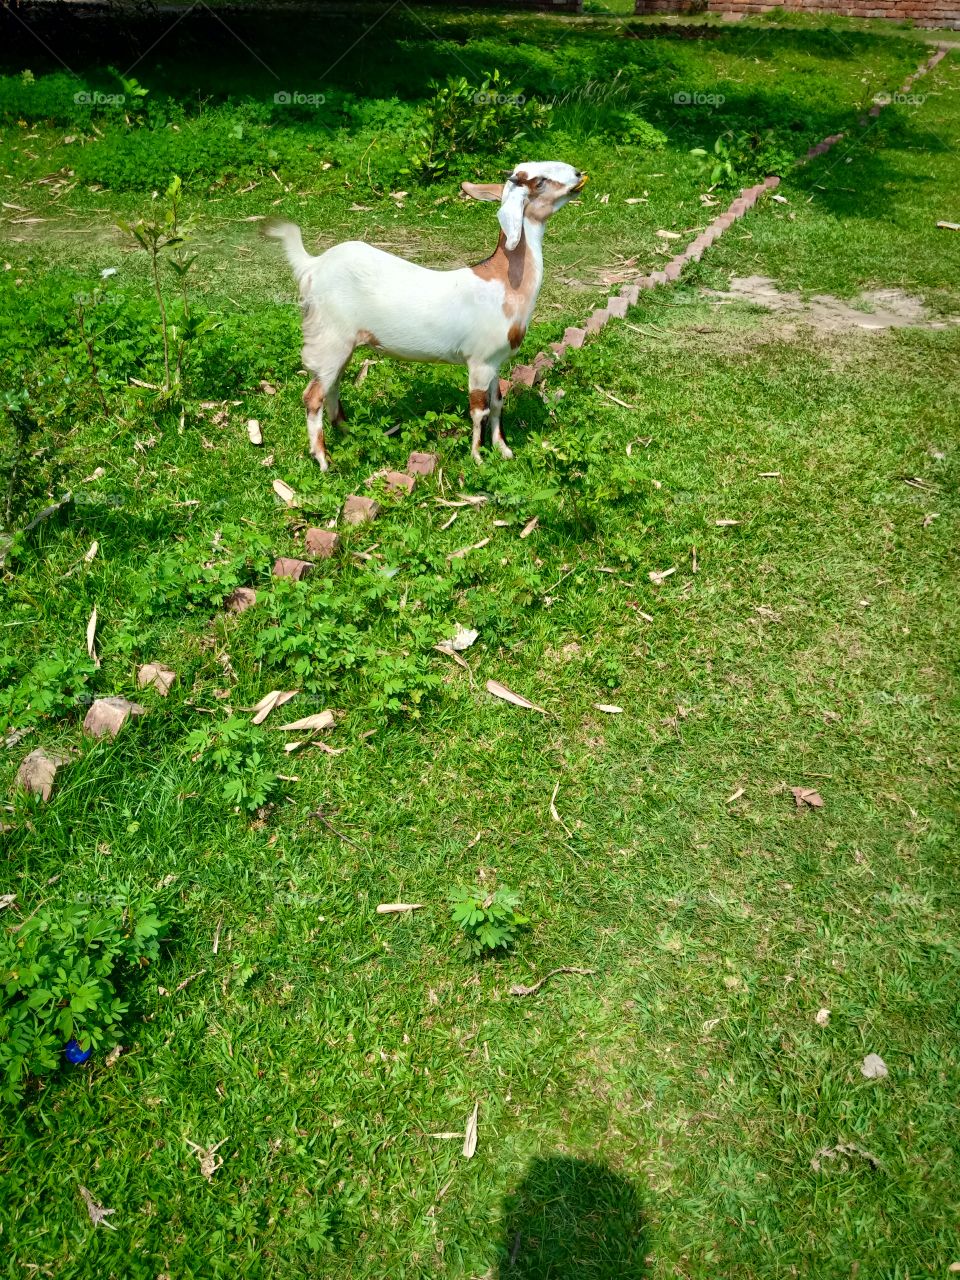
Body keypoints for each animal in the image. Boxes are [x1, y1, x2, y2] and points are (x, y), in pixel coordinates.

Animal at [263, 160, 586, 469]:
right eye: (538, 181)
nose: (577, 174)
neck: (504, 282)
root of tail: (312, 265)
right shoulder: (479, 361)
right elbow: (478, 409)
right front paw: (478, 457)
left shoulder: (494, 361)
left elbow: (497, 402)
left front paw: (504, 450)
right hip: (329, 339)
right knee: (313, 396)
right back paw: (322, 460)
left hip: (342, 346)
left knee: (332, 387)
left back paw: (348, 433)